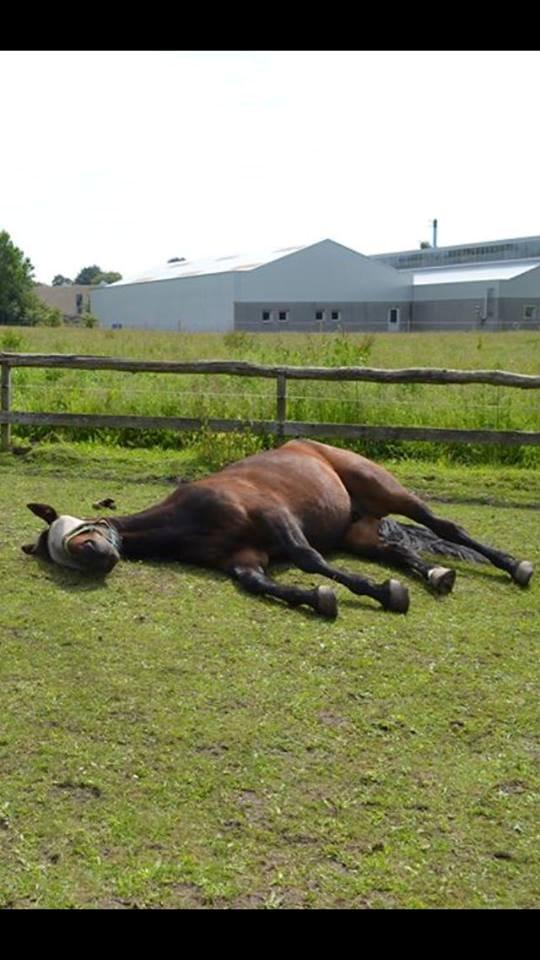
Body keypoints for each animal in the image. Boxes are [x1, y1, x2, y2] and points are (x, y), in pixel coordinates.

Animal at [21, 438, 532, 620]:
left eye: (82, 530)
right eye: (61, 557)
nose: (99, 557)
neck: (189, 518)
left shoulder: (276, 517)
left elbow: (310, 559)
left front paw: (376, 594)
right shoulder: (243, 559)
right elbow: (256, 584)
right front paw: (320, 599)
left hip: (386, 489)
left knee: (444, 525)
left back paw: (514, 567)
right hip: (358, 533)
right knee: (401, 553)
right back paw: (434, 576)